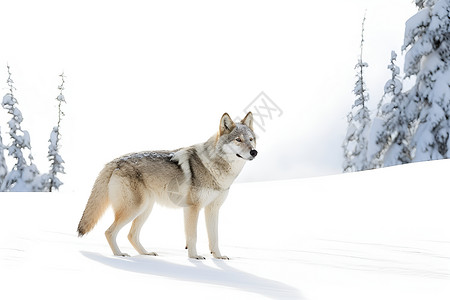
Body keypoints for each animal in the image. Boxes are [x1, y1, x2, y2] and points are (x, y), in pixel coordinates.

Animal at [75, 111, 255, 258]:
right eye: (238, 140)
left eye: (251, 139)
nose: (254, 152)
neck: (215, 168)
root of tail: (114, 161)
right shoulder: (193, 208)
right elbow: (193, 236)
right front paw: (195, 257)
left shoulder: (212, 209)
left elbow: (215, 238)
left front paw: (218, 257)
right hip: (134, 209)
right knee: (109, 232)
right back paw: (120, 255)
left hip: (145, 209)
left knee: (131, 235)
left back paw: (146, 253)